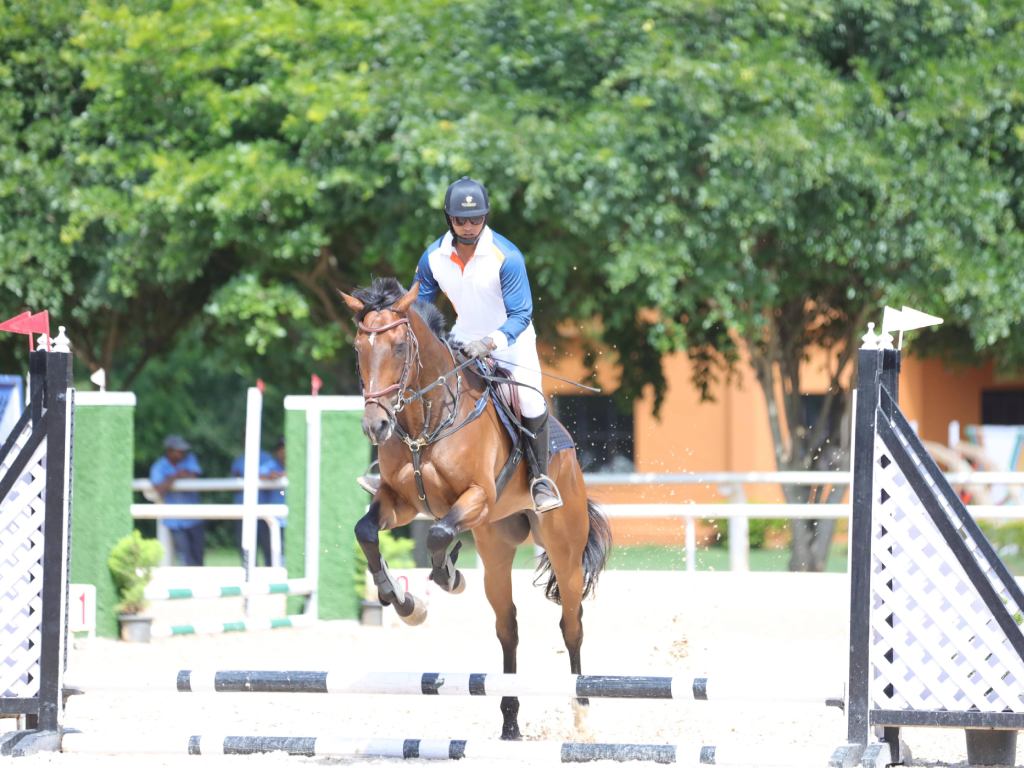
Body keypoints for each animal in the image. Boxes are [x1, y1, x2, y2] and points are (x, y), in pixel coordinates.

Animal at [340, 277, 612, 740]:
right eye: (359, 347)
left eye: (399, 347)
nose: (376, 426)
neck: (426, 421)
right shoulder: (400, 503)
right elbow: (367, 531)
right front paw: (404, 602)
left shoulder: (477, 496)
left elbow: (438, 533)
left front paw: (447, 577)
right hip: (496, 548)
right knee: (508, 628)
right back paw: (510, 721)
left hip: (565, 550)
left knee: (571, 625)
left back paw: (581, 715)